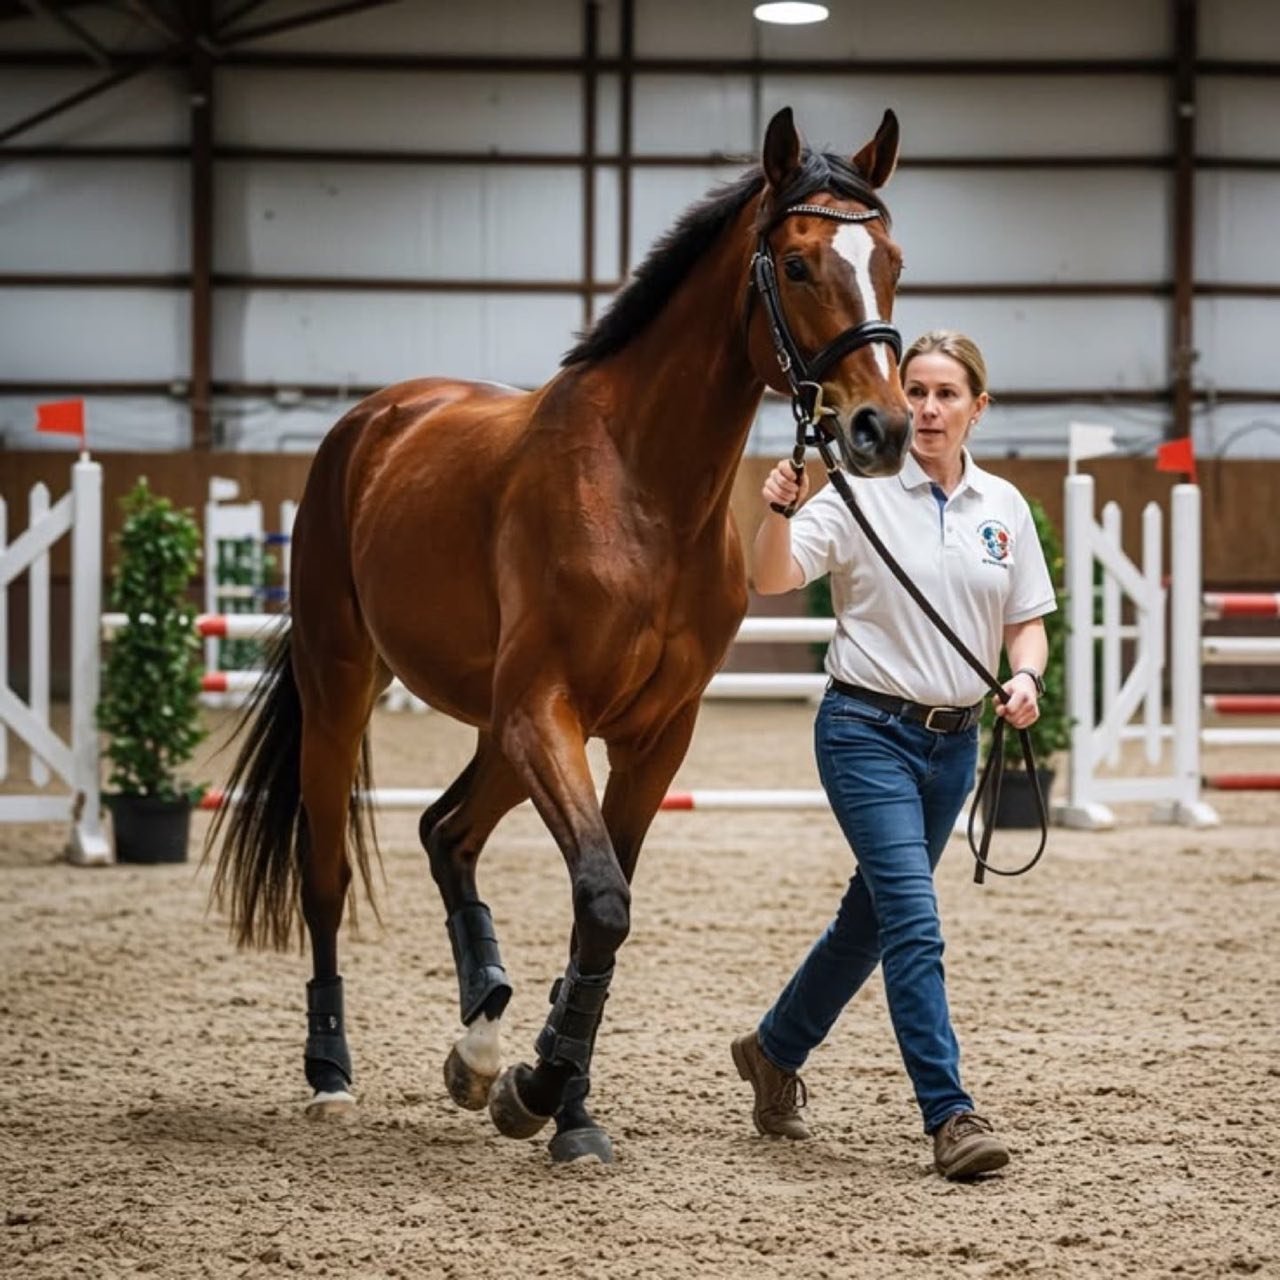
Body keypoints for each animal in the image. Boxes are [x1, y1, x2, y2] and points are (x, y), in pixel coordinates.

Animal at [208, 105, 913, 1164]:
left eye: (893, 261)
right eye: (795, 264)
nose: (883, 429)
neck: (644, 489)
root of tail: (374, 420)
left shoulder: (653, 735)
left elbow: (600, 912)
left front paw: (559, 1099)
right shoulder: (548, 710)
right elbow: (602, 900)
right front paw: (542, 1093)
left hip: (503, 729)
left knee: (447, 830)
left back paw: (480, 1038)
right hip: (352, 692)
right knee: (327, 871)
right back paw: (332, 1071)